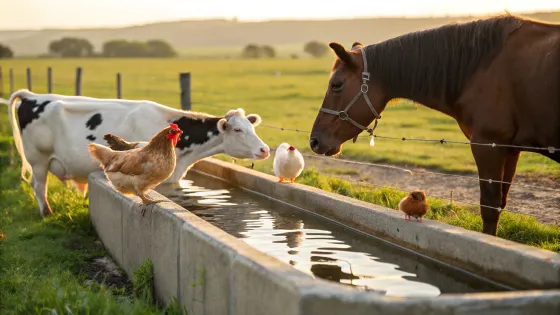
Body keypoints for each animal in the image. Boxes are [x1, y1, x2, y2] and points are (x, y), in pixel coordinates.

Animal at [2, 89, 270, 217]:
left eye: (252, 127)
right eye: (238, 129)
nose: (265, 149)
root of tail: (32, 96)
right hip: (38, 159)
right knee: (39, 186)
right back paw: (46, 213)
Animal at [308, 14, 556, 237]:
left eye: (336, 84)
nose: (314, 141)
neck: (481, 68)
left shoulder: (488, 145)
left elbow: (489, 208)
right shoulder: (510, 150)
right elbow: (499, 204)